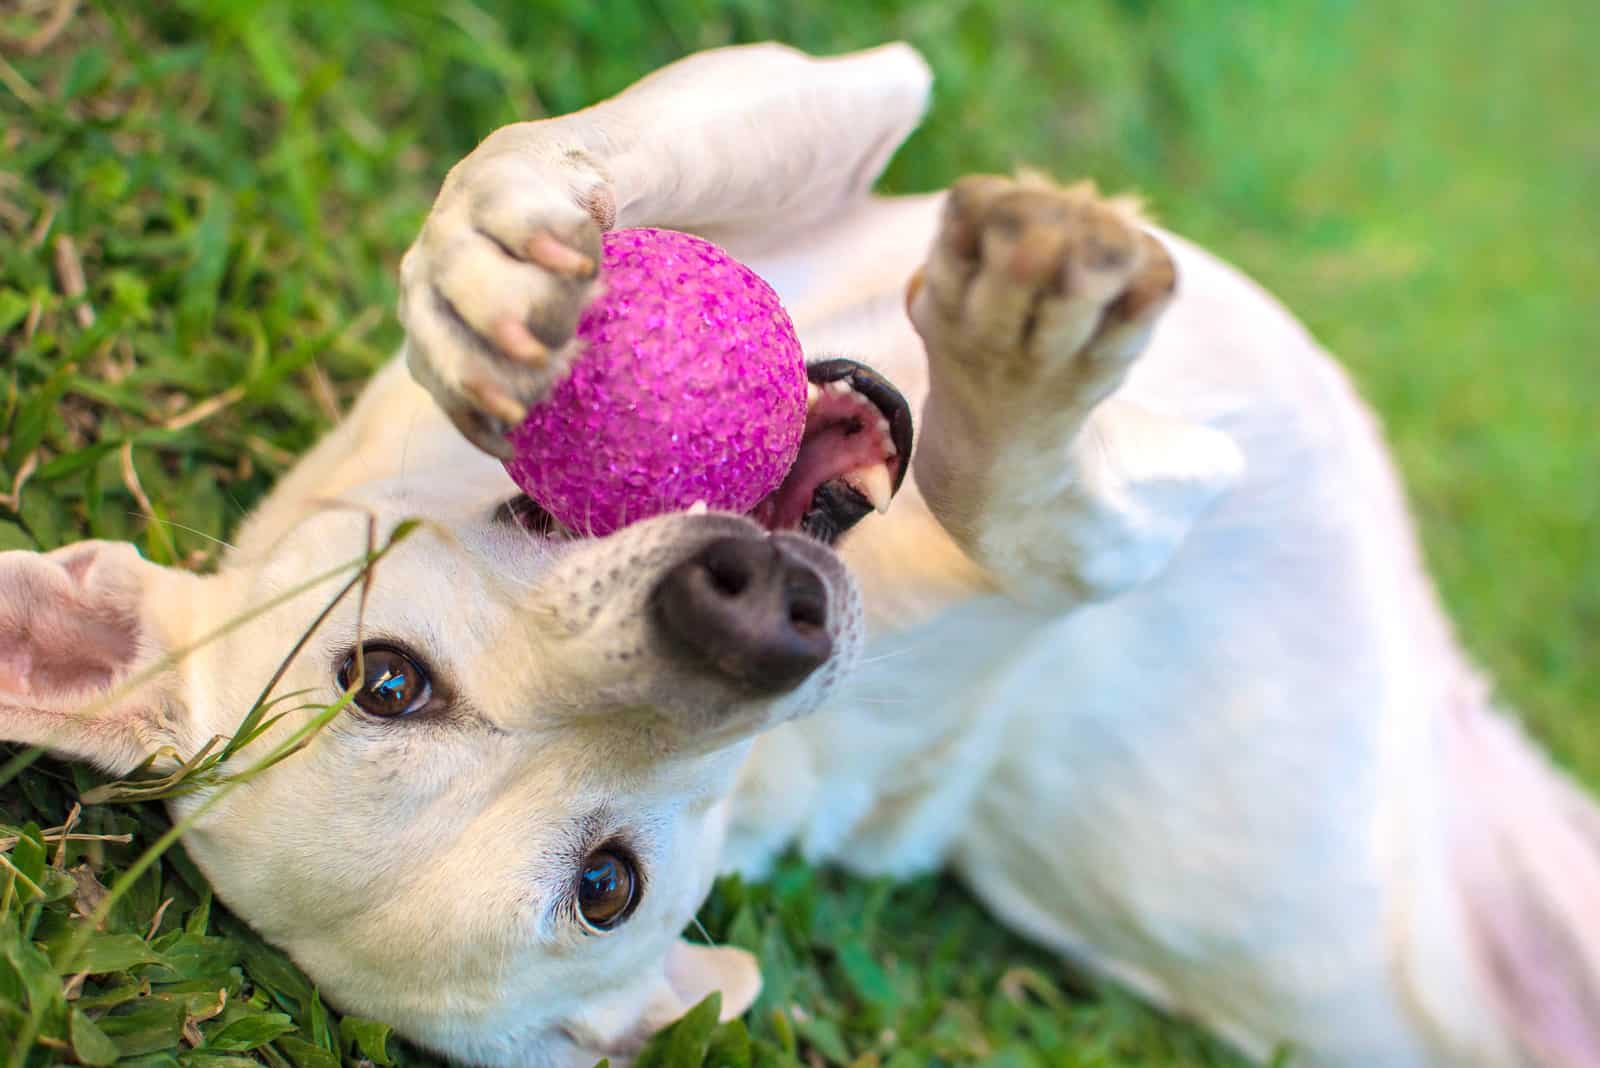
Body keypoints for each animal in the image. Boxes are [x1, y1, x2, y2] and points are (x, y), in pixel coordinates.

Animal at [3, 43, 1600, 1068]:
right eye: (608, 887)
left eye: (383, 680)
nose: (751, 614)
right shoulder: (1087, 545)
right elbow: (1018, 498)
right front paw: (1026, 358)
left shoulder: (834, 100)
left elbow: (557, 149)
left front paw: (491, 251)